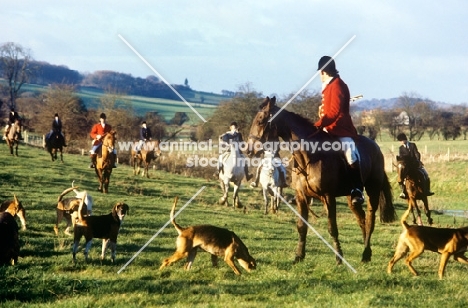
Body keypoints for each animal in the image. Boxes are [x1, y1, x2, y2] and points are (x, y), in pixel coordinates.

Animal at [245, 97, 394, 264]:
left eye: (260, 121)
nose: (248, 150)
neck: (309, 157)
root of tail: (375, 146)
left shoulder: (328, 197)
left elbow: (332, 228)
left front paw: (339, 258)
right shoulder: (301, 196)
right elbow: (301, 226)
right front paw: (299, 256)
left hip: (373, 190)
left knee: (370, 219)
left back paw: (366, 253)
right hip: (351, 197)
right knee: (361, 219)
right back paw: (365, 253)